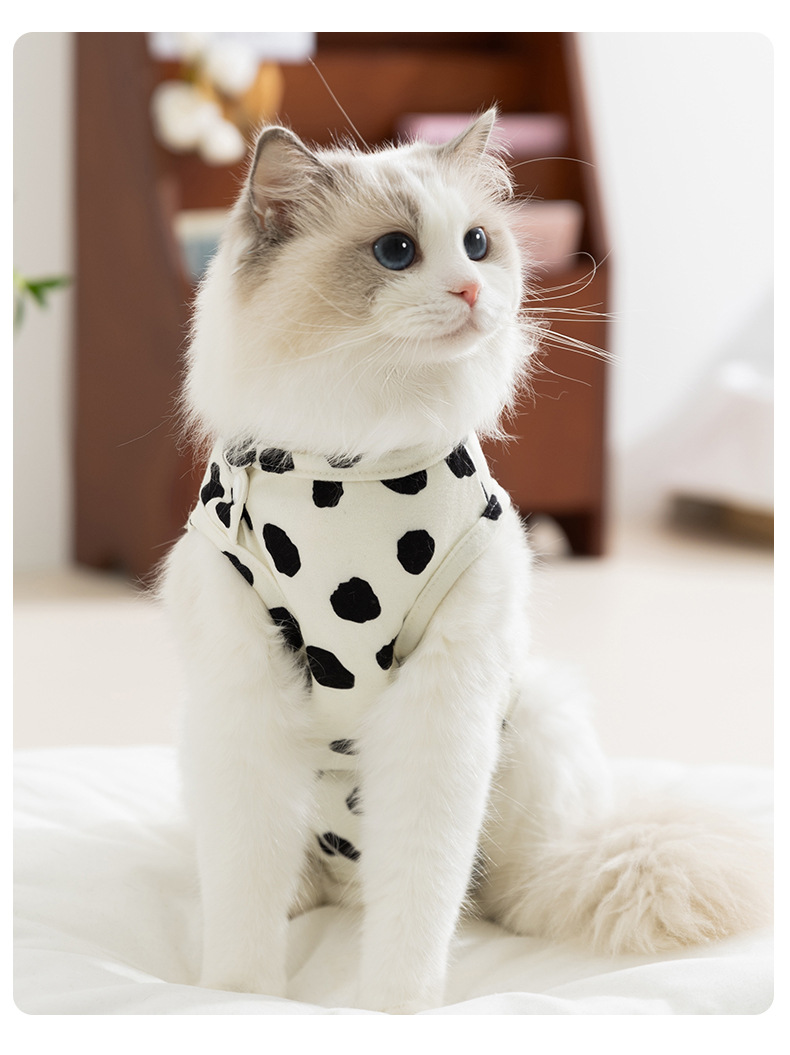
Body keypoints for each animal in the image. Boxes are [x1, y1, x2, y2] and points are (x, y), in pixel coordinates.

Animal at [160, 109, 771, 1013]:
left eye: (478, 244)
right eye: (396, 252)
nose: (474, 292)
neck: (358, 460)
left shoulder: (440, 713)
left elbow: (418, 902)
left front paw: (394, 1010)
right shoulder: (246, 702)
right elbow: (245, 902)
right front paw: (237, 999)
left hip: (537, 722)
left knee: (503, 893)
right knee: (290, 875)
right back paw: (305, 894)